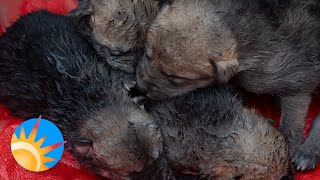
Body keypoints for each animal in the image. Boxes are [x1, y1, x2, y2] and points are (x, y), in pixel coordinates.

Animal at [136, 0, 320, 170]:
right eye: (148, 55)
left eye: (175, 77)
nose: (141, 88)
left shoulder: (296, 83)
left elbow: (291, 125)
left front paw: (291, 148)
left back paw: (308, 152)